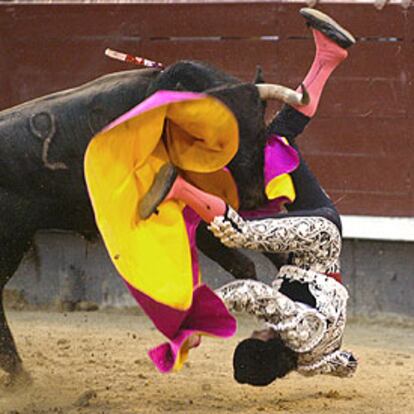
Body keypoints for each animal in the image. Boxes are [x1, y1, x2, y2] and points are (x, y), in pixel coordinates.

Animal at [0, 59, 306, 384]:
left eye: (261, 131)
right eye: (211, 142)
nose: (252, 197)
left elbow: (278, 249)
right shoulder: (199, 222)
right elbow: (245, 265)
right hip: (11, 242)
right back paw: (19, 375)